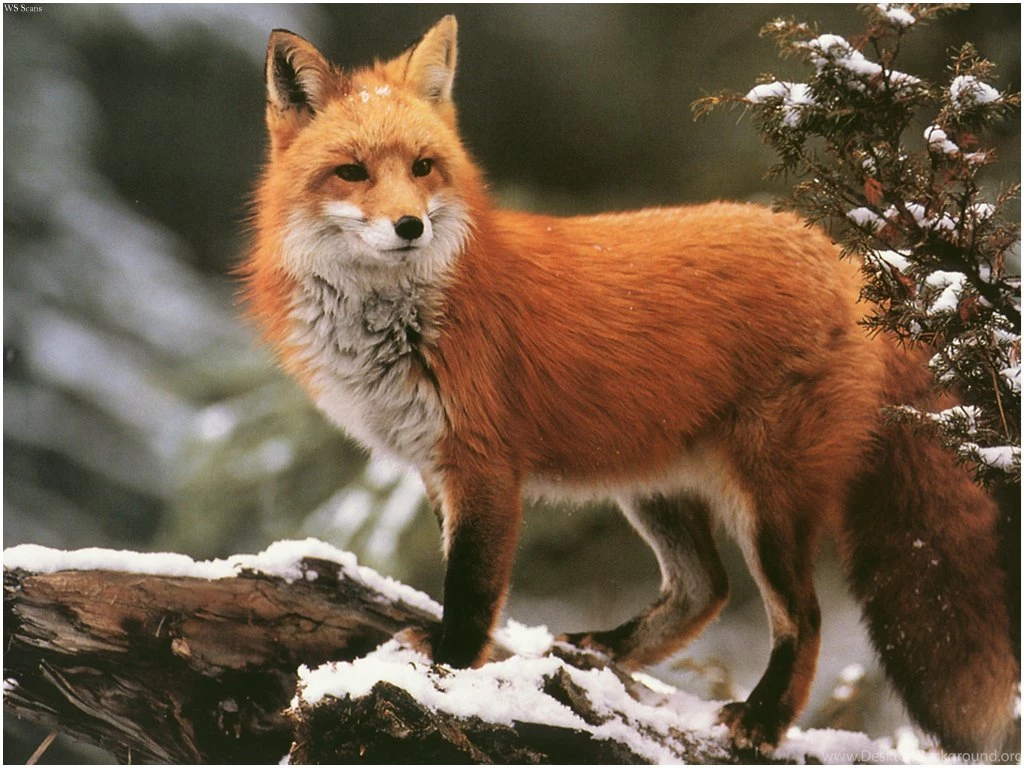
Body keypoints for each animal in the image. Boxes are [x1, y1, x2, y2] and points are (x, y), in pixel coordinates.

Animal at [242, 16, 1019, 755]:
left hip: (767, 502)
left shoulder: (483, 464)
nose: (410, 226)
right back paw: (606, 651)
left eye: (423, 166)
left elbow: (471, 589)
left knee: (803, 615)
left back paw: (763, 721)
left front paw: (452, 670)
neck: (399, 319)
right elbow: (463, 579)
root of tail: (850, 260)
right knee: (705, 589)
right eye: (351, 172)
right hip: (652, 485)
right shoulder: (436, 465)